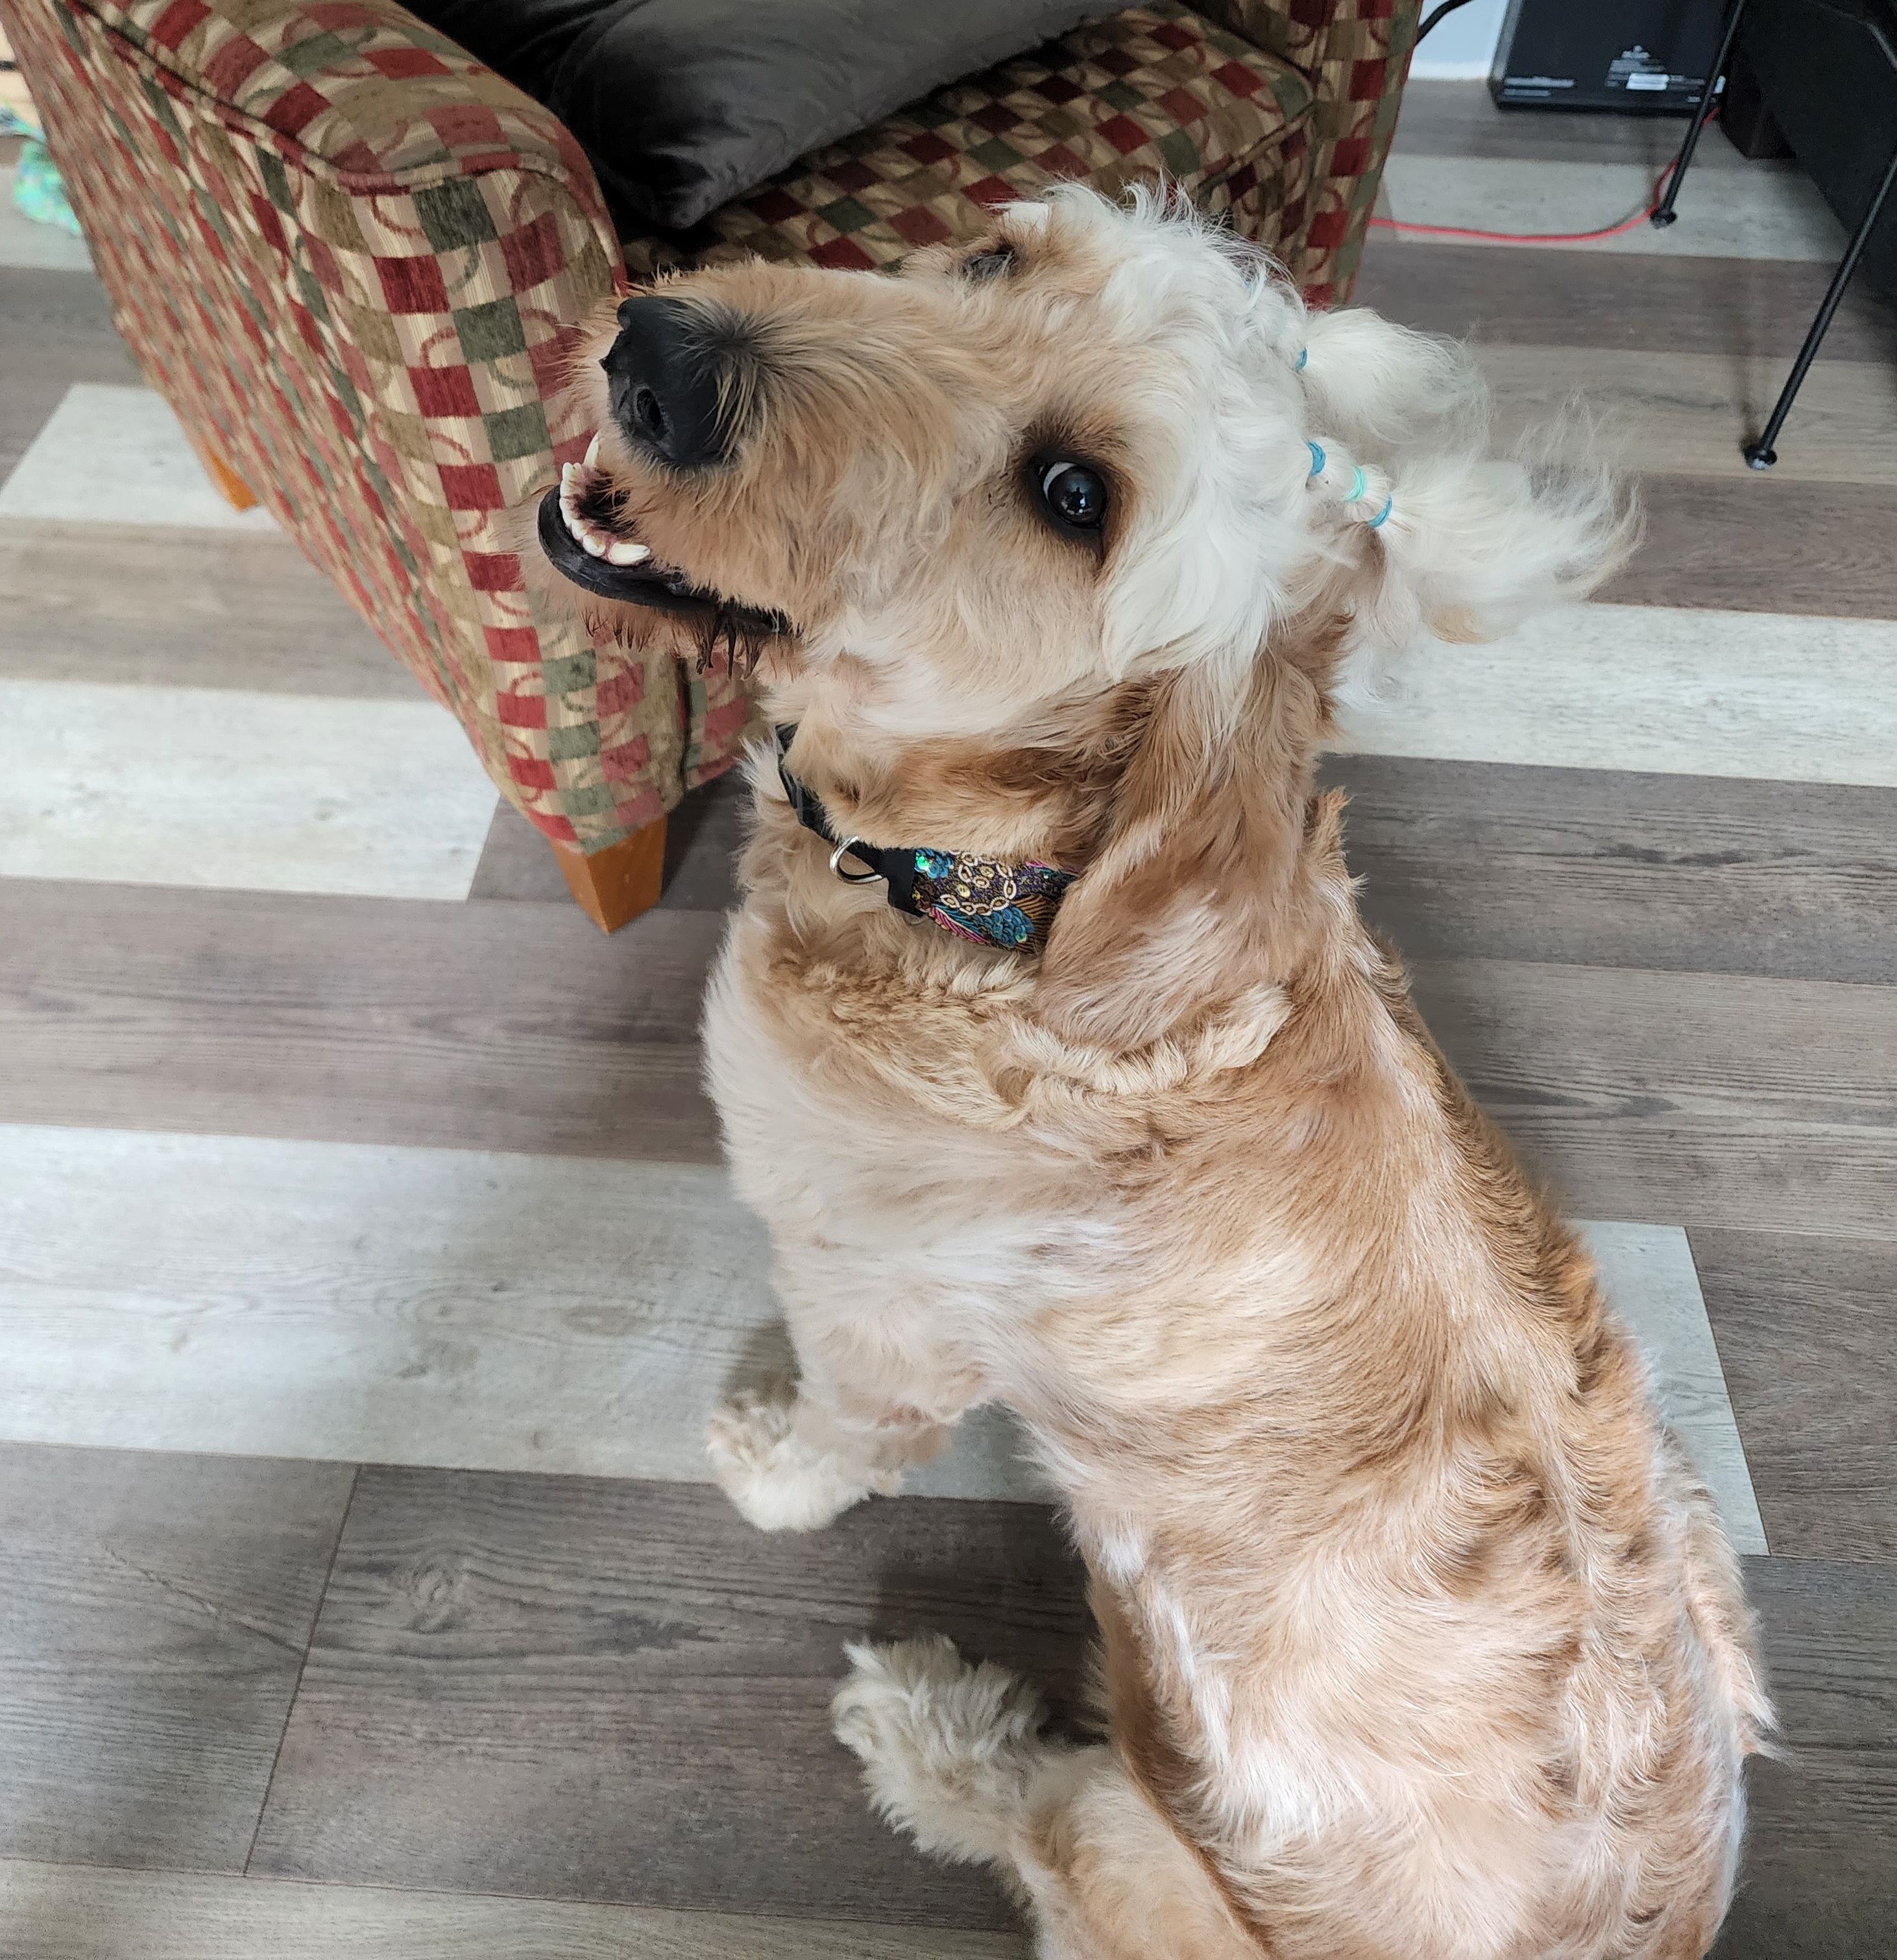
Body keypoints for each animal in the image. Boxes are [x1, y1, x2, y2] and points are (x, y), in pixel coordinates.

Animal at [531, 187, 1772, 1960]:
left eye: (1072, 498)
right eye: (994, 259)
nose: (661, 352)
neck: (997, 909)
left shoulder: (881, 1308)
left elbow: (848, 1433)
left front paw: (770, 1470)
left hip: (1143, 1832)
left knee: (1041, 1823)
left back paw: (924, 1731)